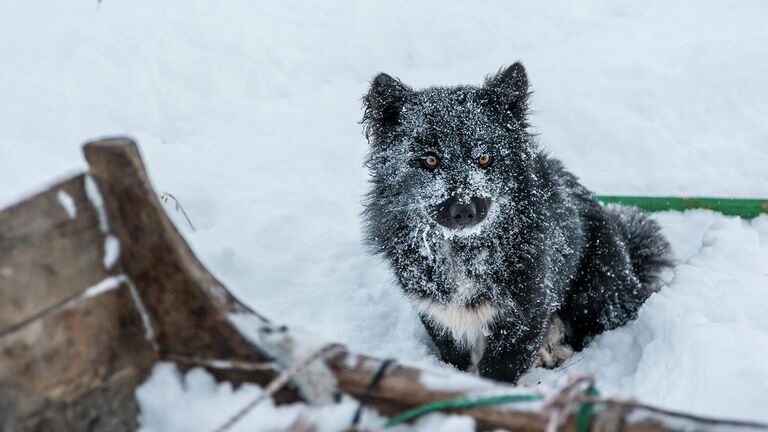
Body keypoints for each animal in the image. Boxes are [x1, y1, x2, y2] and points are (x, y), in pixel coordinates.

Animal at [360, 62, 672, 384]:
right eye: (430, 160)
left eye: (484, 158)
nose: (464, 210)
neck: (464, 251)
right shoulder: (438, 314)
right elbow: (457, 359)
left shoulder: (526, 312)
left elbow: (499, 369)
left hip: (596, 286)